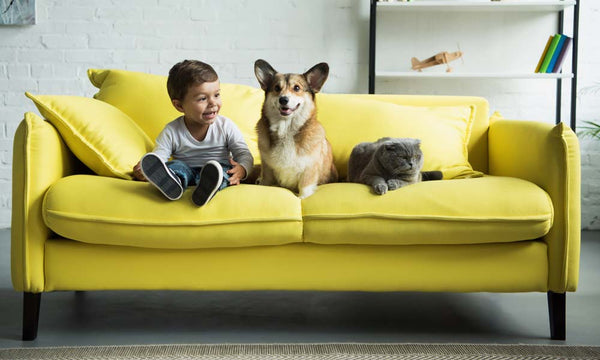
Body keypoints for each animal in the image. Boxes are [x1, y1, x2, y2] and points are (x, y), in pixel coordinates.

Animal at [253, 59, 338, 200]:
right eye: (277, 88)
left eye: (297, 88)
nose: (283, 99)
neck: (286, 129)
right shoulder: (267, 169)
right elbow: (266, 182)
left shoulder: (308, 170)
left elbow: (304, 190)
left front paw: (302, 199)